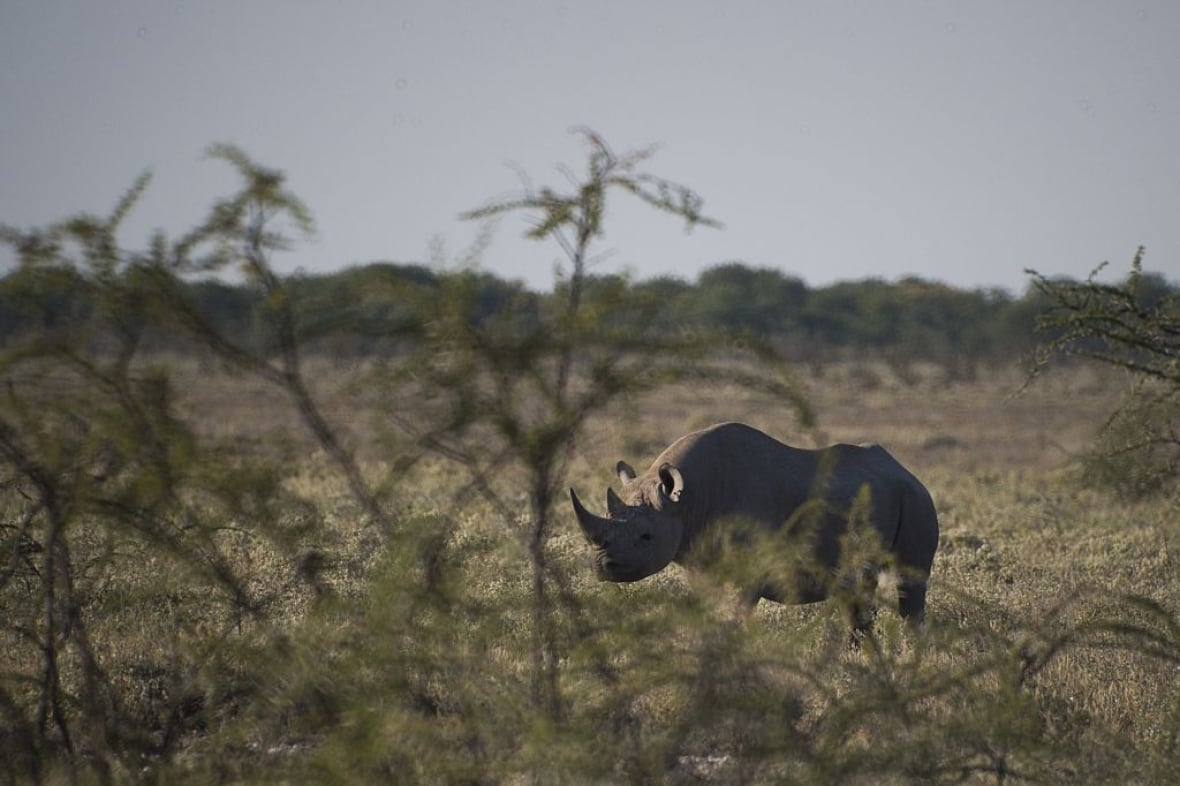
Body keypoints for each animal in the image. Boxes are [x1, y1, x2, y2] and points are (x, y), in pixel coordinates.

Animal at [570, 422, 939, 631]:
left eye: (646, 537)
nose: (602, 566)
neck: (686, 501)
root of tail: (907, 471)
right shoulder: (700, 562)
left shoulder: (749, 569)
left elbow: (735, 613)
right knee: (856, 595)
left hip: (917, 500)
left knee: (908, 588)